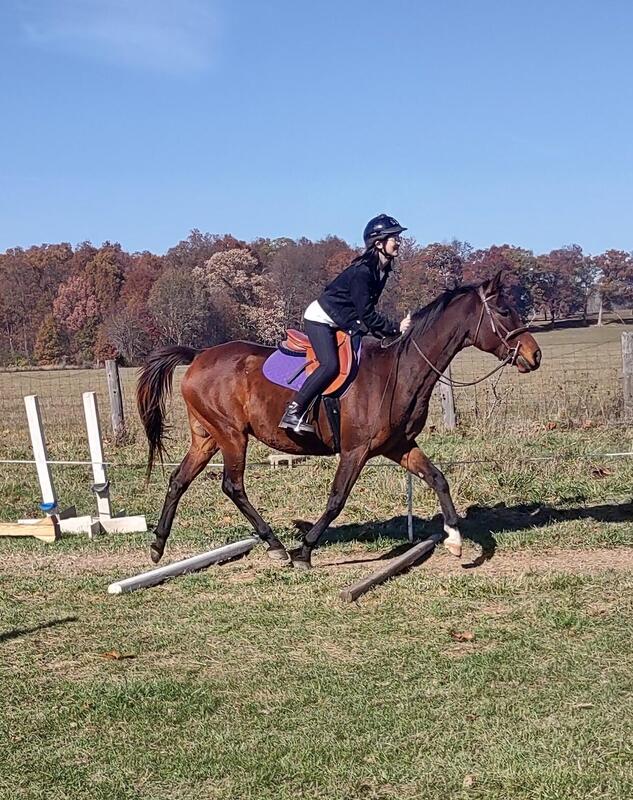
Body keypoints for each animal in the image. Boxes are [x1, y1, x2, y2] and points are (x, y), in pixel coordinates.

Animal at [137, 271, 541, 569]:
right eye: (504, 311)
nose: (534, 356)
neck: (399, 370)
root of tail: (198, 356)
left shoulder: (399, 446)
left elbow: (438, 478)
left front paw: (455, 540)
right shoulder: (355, 450)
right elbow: (336, 499)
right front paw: (305, 550)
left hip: (206, 437)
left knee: (178, 480)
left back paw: (158, 546)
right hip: (232, 436)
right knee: (233, 487)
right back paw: (276, 546)